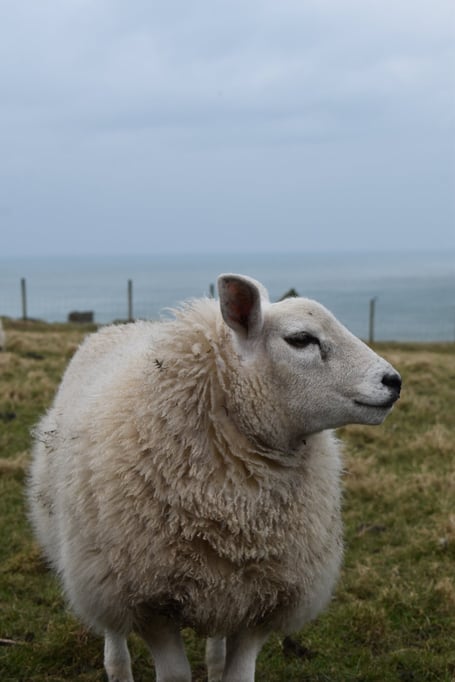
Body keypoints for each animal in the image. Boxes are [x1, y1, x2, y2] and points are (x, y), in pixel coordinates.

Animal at [28, 273, 401, 682]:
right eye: (301, 339)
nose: (393, 381)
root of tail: (121, 325)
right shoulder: (150, 601)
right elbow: (174, 674)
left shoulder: (262, 601)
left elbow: (238, 673)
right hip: (98, 568)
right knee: (113, 630)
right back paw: (118, 666)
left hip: (224, 591)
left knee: (216, 649)